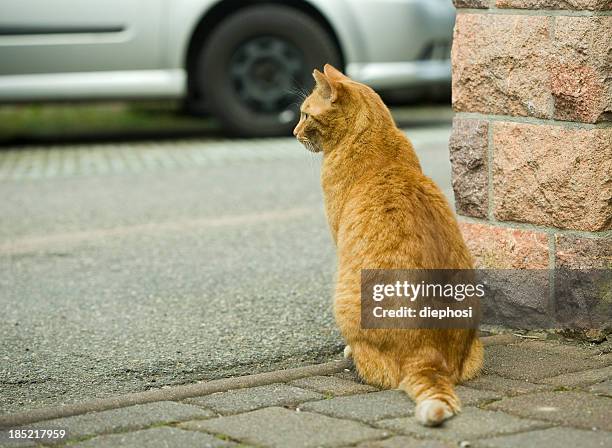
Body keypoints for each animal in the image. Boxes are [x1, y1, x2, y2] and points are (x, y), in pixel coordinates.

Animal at [292, 64, 482, 428]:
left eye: (306, 114)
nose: (293, 132)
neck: (374, 139)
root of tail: (428, 357)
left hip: (345, 298)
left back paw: (352, 355)